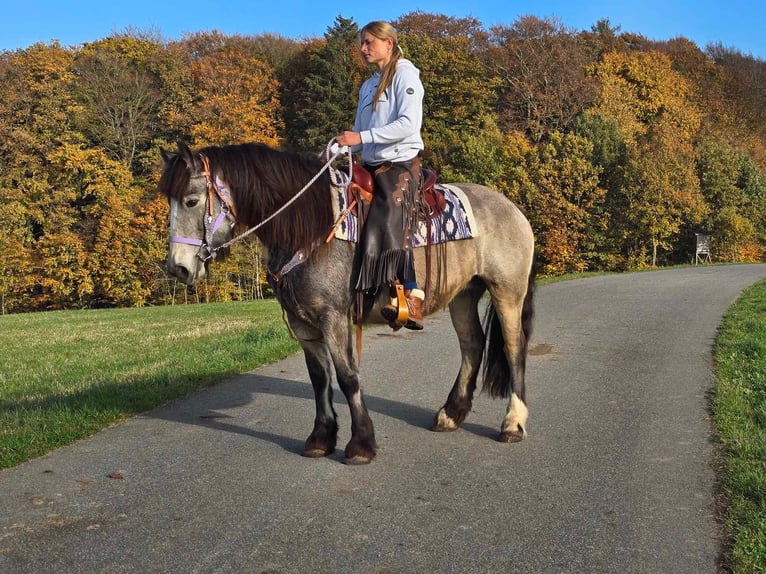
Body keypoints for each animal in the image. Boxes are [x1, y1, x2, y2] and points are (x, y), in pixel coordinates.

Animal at [159, 143, 536, 468]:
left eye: (191, 200)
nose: (178, 268)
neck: (309, 228)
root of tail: (513, 209)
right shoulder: (303, 323)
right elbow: (319, 379)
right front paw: (321, 439)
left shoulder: (334, 318)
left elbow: (347, 377)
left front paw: (361, 444)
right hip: (463, 295)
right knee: (472, 345)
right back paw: (450, 415)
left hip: (506, 291)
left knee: (514, 348)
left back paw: (513, 424)